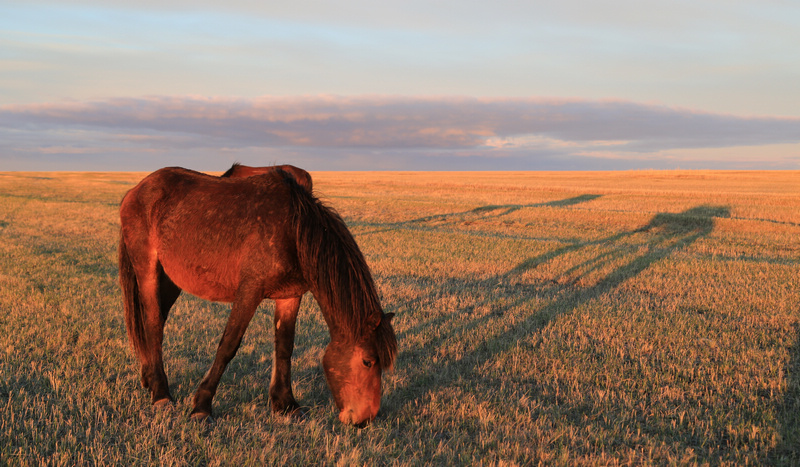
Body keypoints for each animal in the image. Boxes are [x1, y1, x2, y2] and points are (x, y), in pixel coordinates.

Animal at [117, 166, 396, 426]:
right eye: (368, 361)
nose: (364, 419)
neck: (294, 231)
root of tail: (137, 190)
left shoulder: (290, 296)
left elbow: (284, 346)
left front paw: (286, 403)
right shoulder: (250, 291)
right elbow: (228, 345)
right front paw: (202, 406)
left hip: (171, 278)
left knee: (157, 321)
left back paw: (148, 379)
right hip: (147, 269)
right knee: (153, 323)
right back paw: (161, 393)